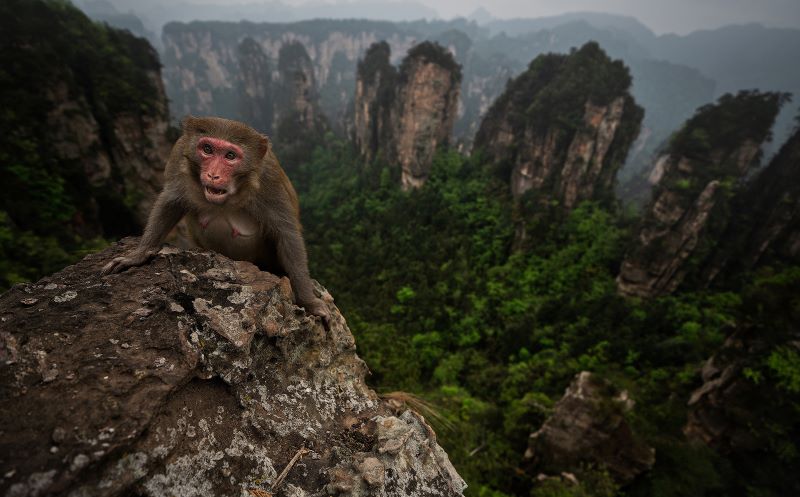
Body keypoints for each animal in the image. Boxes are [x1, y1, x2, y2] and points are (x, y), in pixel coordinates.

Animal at [102, 116, 328, 326]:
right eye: (207, 149)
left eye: (230, 155)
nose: (213, 174)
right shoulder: (179, 154)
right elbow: (170, 201)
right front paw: (138, 255)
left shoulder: (269, 178)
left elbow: (287, 233)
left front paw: (310, 303)